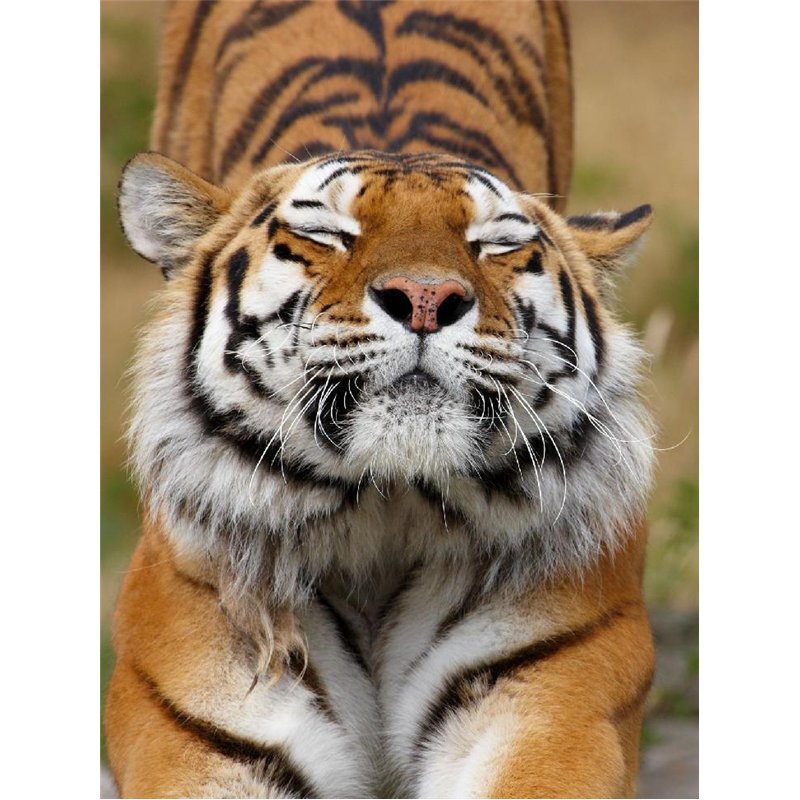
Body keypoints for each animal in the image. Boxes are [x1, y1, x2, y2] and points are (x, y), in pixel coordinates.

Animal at [104, 1, 656, 798]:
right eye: (326, 234)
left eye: (495, 245)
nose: (426, 297)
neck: (386, 516)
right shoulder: (208, 717)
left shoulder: (551, 702)